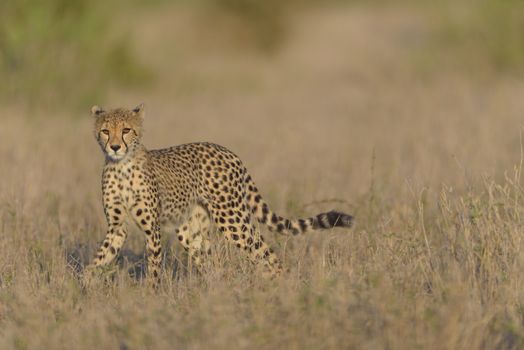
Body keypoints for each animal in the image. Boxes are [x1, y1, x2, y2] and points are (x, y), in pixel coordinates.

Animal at [88, 103, 354, 284]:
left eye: (126, 130)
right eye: (105, 131)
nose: (114, 146)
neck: (121, 166)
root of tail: (226, 150)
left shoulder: (151, 228)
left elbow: (153, 269)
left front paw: (151, 298)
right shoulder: (117, 227)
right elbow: (98, 259)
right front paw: (84, 286)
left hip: (233, 219)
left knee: (266, 253)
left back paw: (278, 288)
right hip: (191, 230)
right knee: (211, 262)